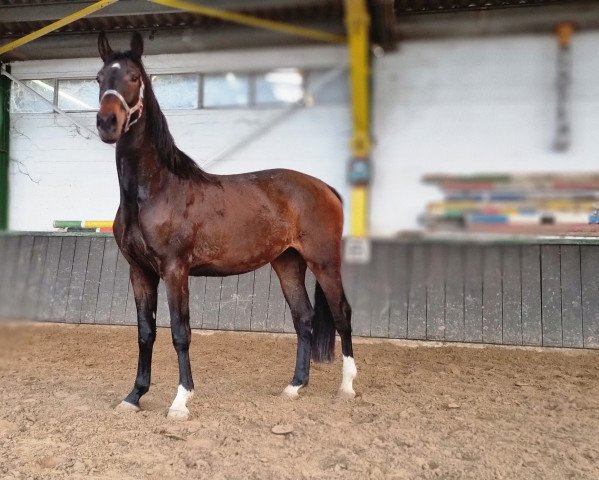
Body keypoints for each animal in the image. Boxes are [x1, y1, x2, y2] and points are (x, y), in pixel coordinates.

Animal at [95, 31, 356, 418]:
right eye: (98, 78)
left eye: (134, 77)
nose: (107, 123)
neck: (155, 190)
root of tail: (324, 187)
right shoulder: (139, 271)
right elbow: (146, 333)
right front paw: (134, 396)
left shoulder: (175, 270)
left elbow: (180, 332)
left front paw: (181, 400)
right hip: (288, 262)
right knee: (304, 318)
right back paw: (295, 386)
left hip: (323, 261)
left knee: (342, 314)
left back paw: (347, 387)